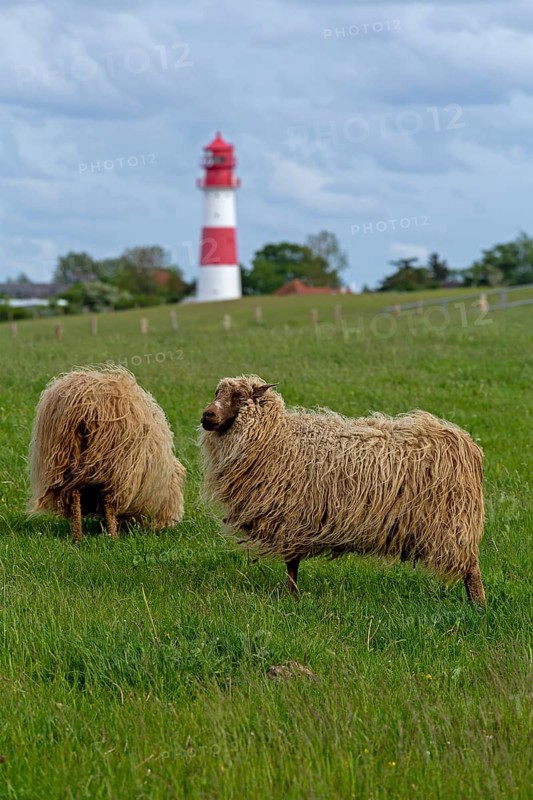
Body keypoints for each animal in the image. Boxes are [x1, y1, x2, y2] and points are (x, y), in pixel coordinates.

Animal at [30, 366, 186, 541]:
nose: (171, 523)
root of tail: (84, 402)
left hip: (64, 458)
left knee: (74, 495)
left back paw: (77, 536)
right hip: (113, 465)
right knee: (108, 500)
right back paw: (112, 536)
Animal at [199, 375, 486, 604]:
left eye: (239, 396)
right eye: (216, 393)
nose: (207, 415)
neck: (277, 437)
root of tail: (465, 444)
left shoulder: (292, 516)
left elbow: (291, 564)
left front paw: (292, 597)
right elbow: (292, 563)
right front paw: (293, 595)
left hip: (453, 521)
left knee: (471, 567)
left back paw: (478, 606)